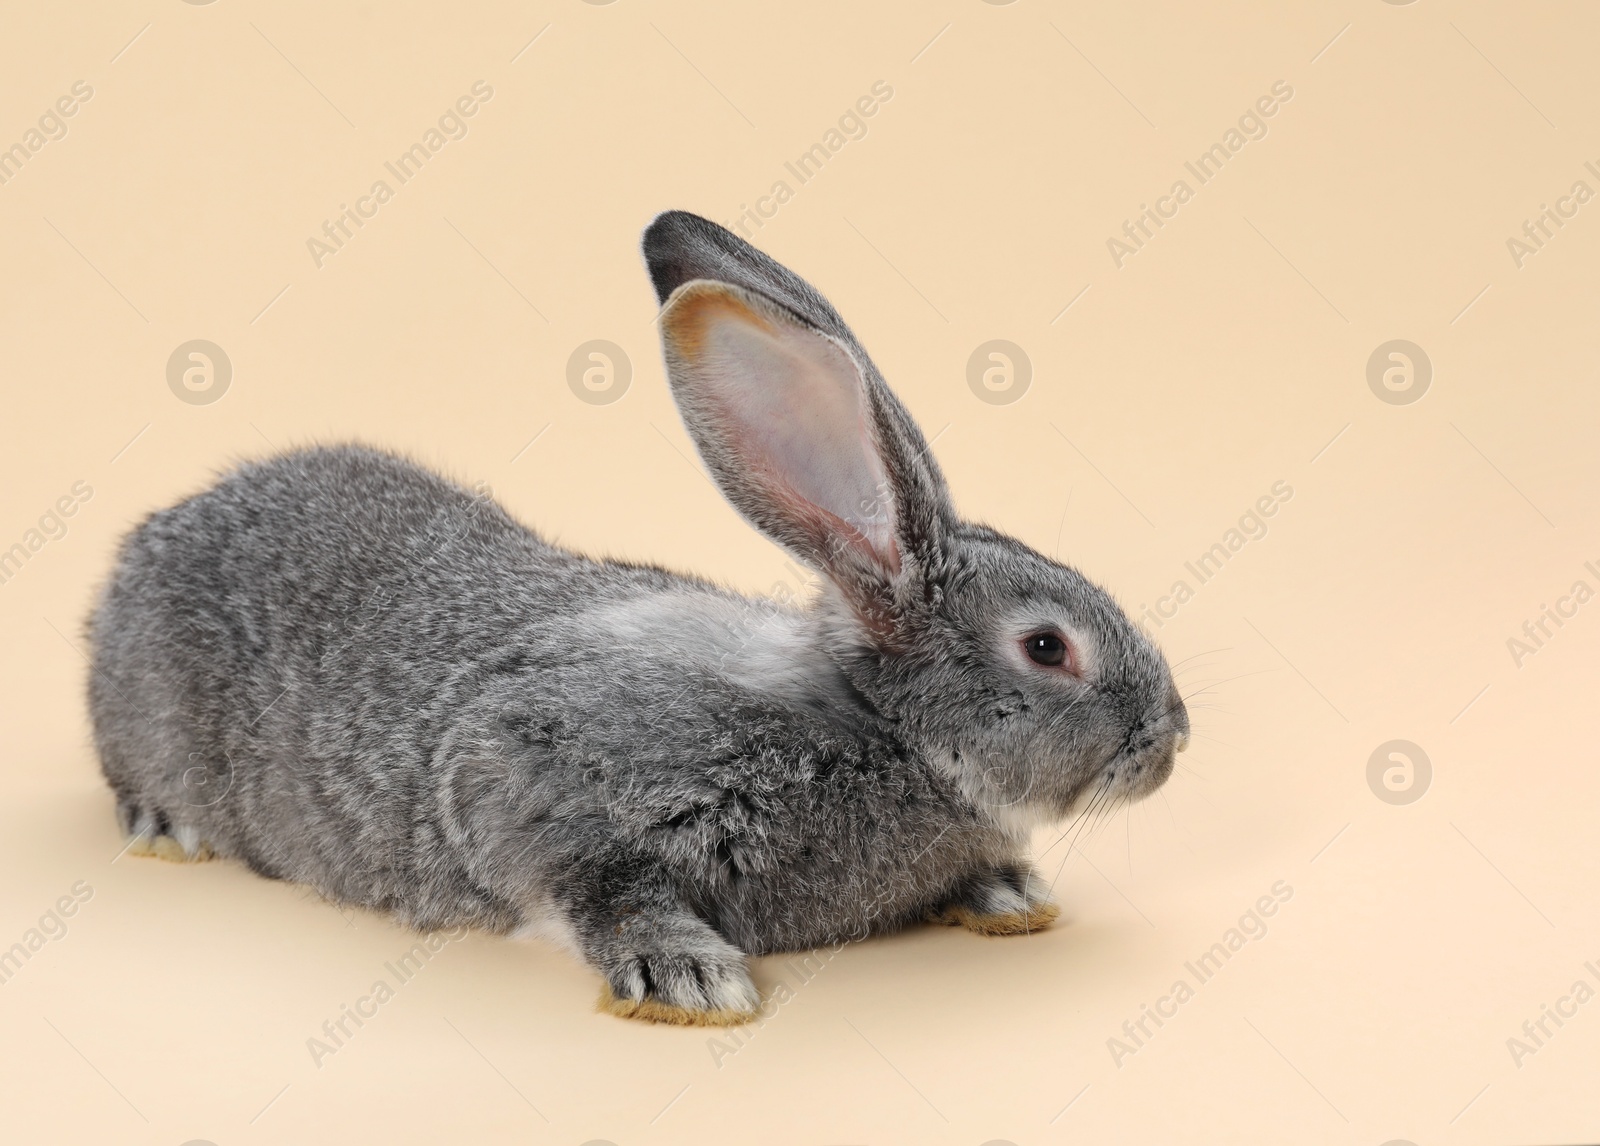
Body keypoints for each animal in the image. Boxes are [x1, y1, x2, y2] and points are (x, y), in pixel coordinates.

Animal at [84, 209, 1190, 1024]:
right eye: (1046, 647)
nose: (1172, 739)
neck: (875, 728)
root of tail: (155, 540)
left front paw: (1005, 893)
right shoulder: (529, 772)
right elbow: (592, 877)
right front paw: (688, 977)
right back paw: (168, 828)